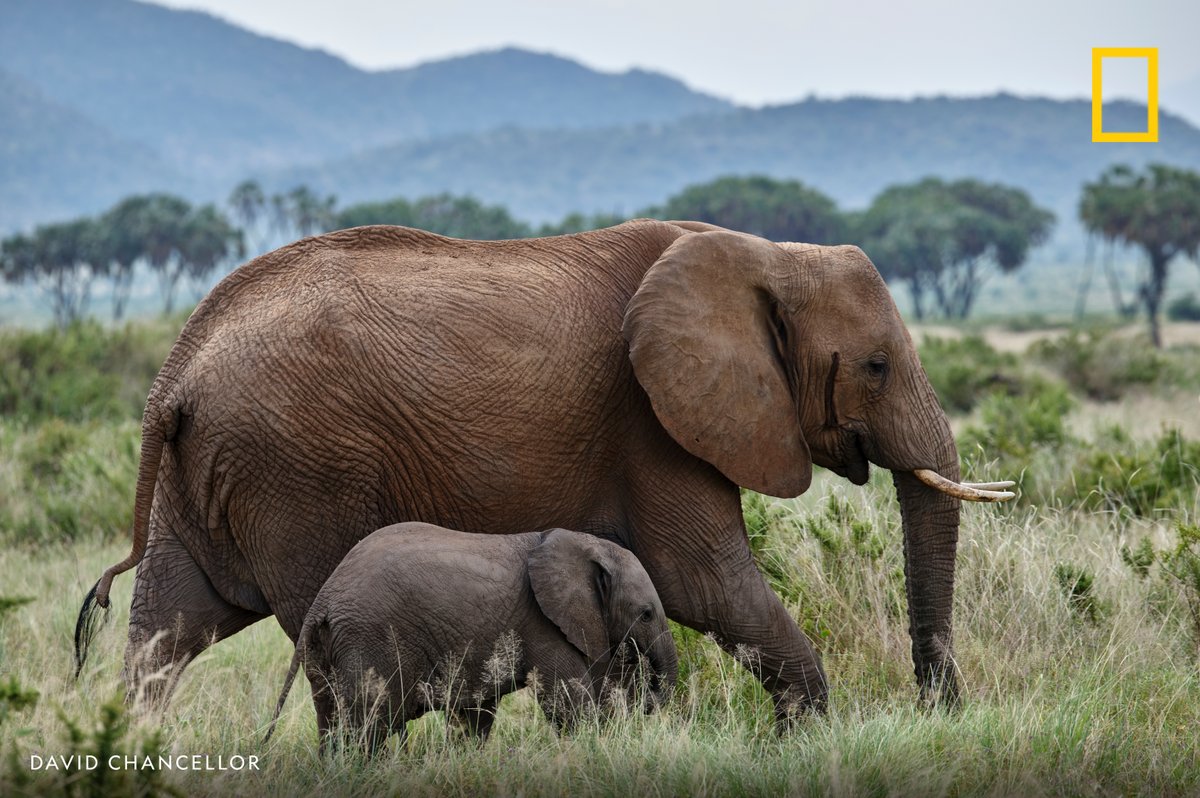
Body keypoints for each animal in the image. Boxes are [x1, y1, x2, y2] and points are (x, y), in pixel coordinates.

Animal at [74, 219, 1013, 720]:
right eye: (877, 367)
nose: (938, 707)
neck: (763, 253)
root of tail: (176, 370)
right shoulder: (650, 421)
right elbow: (706, 584)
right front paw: (807, 743)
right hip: (296, 467)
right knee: (311, 628)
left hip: (215, 471)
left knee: (168, 627)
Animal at [263, 523, 678, 754]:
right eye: (646, 614)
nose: (649, 697)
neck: (586, 546)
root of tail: (324, 598)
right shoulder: (543, 626)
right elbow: (568, 702)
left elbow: (474, 715)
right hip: (371, 639)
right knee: (370, 721)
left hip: (328, 647)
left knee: (331, 716)